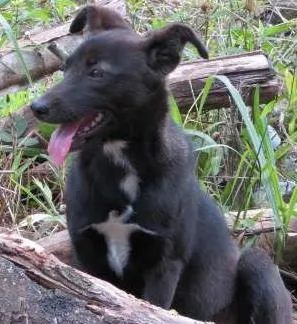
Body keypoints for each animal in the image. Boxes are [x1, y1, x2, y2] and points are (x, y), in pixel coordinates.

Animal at [30, 6, 292, 322]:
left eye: (97, 73)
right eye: (65, 69)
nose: (36, 108)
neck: (122, 164)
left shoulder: (165, 265)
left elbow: (150, 309)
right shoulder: (85, 255)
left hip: (257, 263)